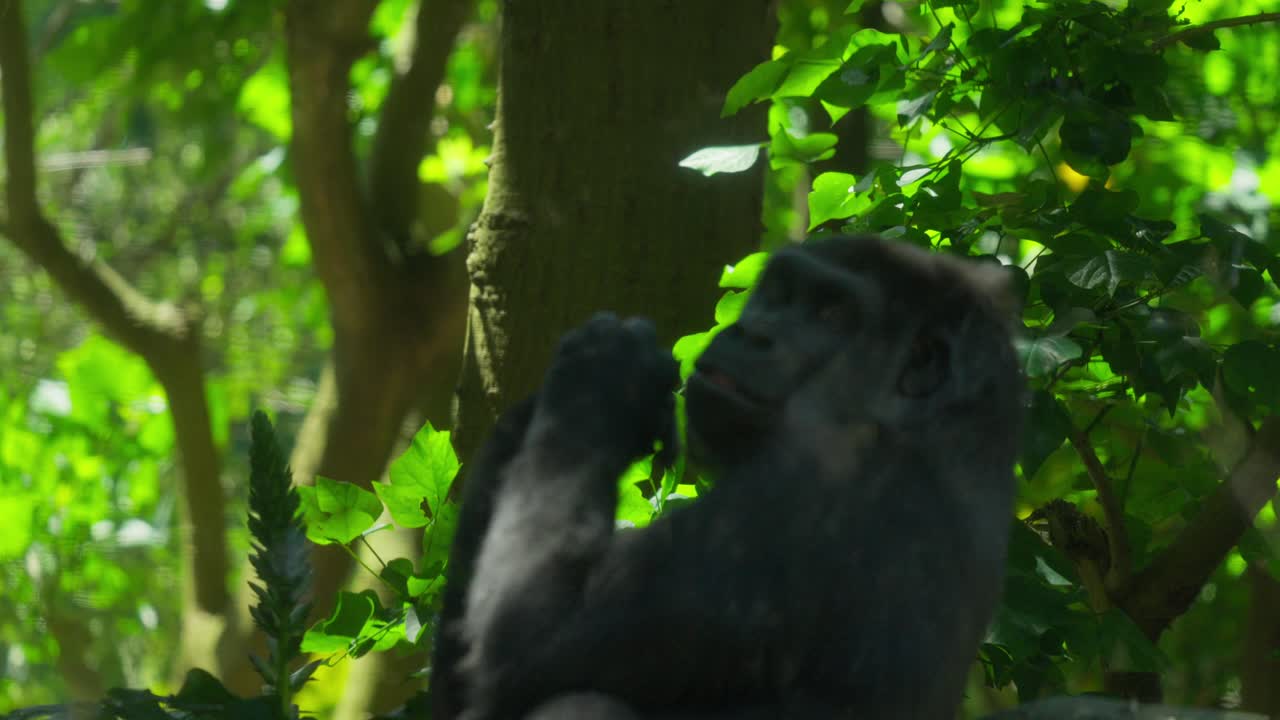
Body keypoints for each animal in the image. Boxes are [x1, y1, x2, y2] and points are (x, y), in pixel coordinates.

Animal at [433, 234, 1024, 720]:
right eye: (781, 294)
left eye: (832, 312)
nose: (750, 332)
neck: (943, 433)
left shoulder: (800, 498)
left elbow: (522, 638)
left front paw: (604, 374)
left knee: (580, 702)